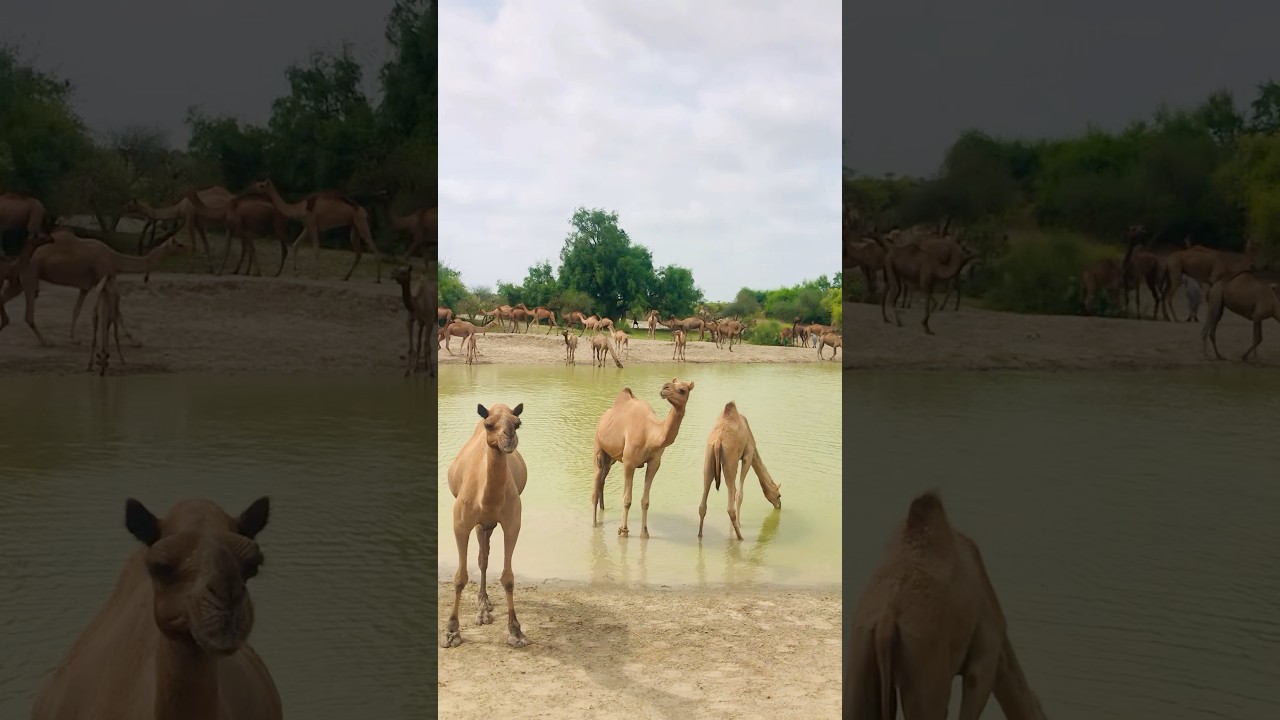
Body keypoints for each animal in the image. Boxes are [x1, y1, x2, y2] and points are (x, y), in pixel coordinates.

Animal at [1, 228, 187, 347]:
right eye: (178, 244)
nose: (189, 247)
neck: (113, 258)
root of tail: (17, 258)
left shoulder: (86, 286)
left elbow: (76, 310)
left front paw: (74, 339)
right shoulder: (104, 278)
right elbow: (117, 311)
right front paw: (136, 341)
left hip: (18, 281)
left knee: (4, 298)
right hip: (31, 275)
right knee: (28, 314)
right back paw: (47, 342)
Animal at [247, 179, 382, 283]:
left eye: (261, 185)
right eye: (258, 183)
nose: (251, 187)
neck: (299, 208)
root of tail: (364, 211)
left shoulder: (312, 225)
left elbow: (316, 250)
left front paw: (316, 276)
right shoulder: (307, 227)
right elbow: (296, 244)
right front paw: (297, 273)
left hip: (361, 222)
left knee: (373, 245)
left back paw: (378, 279)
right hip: (354, 227)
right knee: (359, 252)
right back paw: (345, 277)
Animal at [442, 403, 530, 649]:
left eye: (517, 423)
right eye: (488, 424)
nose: (509, 437)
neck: (487, 500)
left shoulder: (512, 523)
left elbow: (508, 579)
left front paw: (515, 632)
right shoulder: (460, 524)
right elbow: (460, 578)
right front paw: (451, 631)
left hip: (487, 524)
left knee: (484, 557)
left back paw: (485, 607)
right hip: (480, 524)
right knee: (482, 558)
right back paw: (482, 609)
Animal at [591, 378, 695, 537]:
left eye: (683, 390)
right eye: (672, 384)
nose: (665, 388)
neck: (650, 434)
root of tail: (603, 417)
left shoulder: (654, 463)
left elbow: (645, 501)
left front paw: (644, 533)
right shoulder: (629, 462)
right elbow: (627, 499)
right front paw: (623, 530)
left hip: (610, 457)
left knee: (602, 480)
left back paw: (603, 510)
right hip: (598, 446)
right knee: (596, 484)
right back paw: (595, 523)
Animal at [697, 402, 783, 540]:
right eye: (778, 495)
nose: (779, 505)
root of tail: (718, 442)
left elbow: (734, 493)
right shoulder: (748, 455)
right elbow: (739, 494)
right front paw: (739, 523)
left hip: (709, 460)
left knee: (703, 504)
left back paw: (700, 534)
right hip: (729, 461)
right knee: (730, 507)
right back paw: (740, 537)